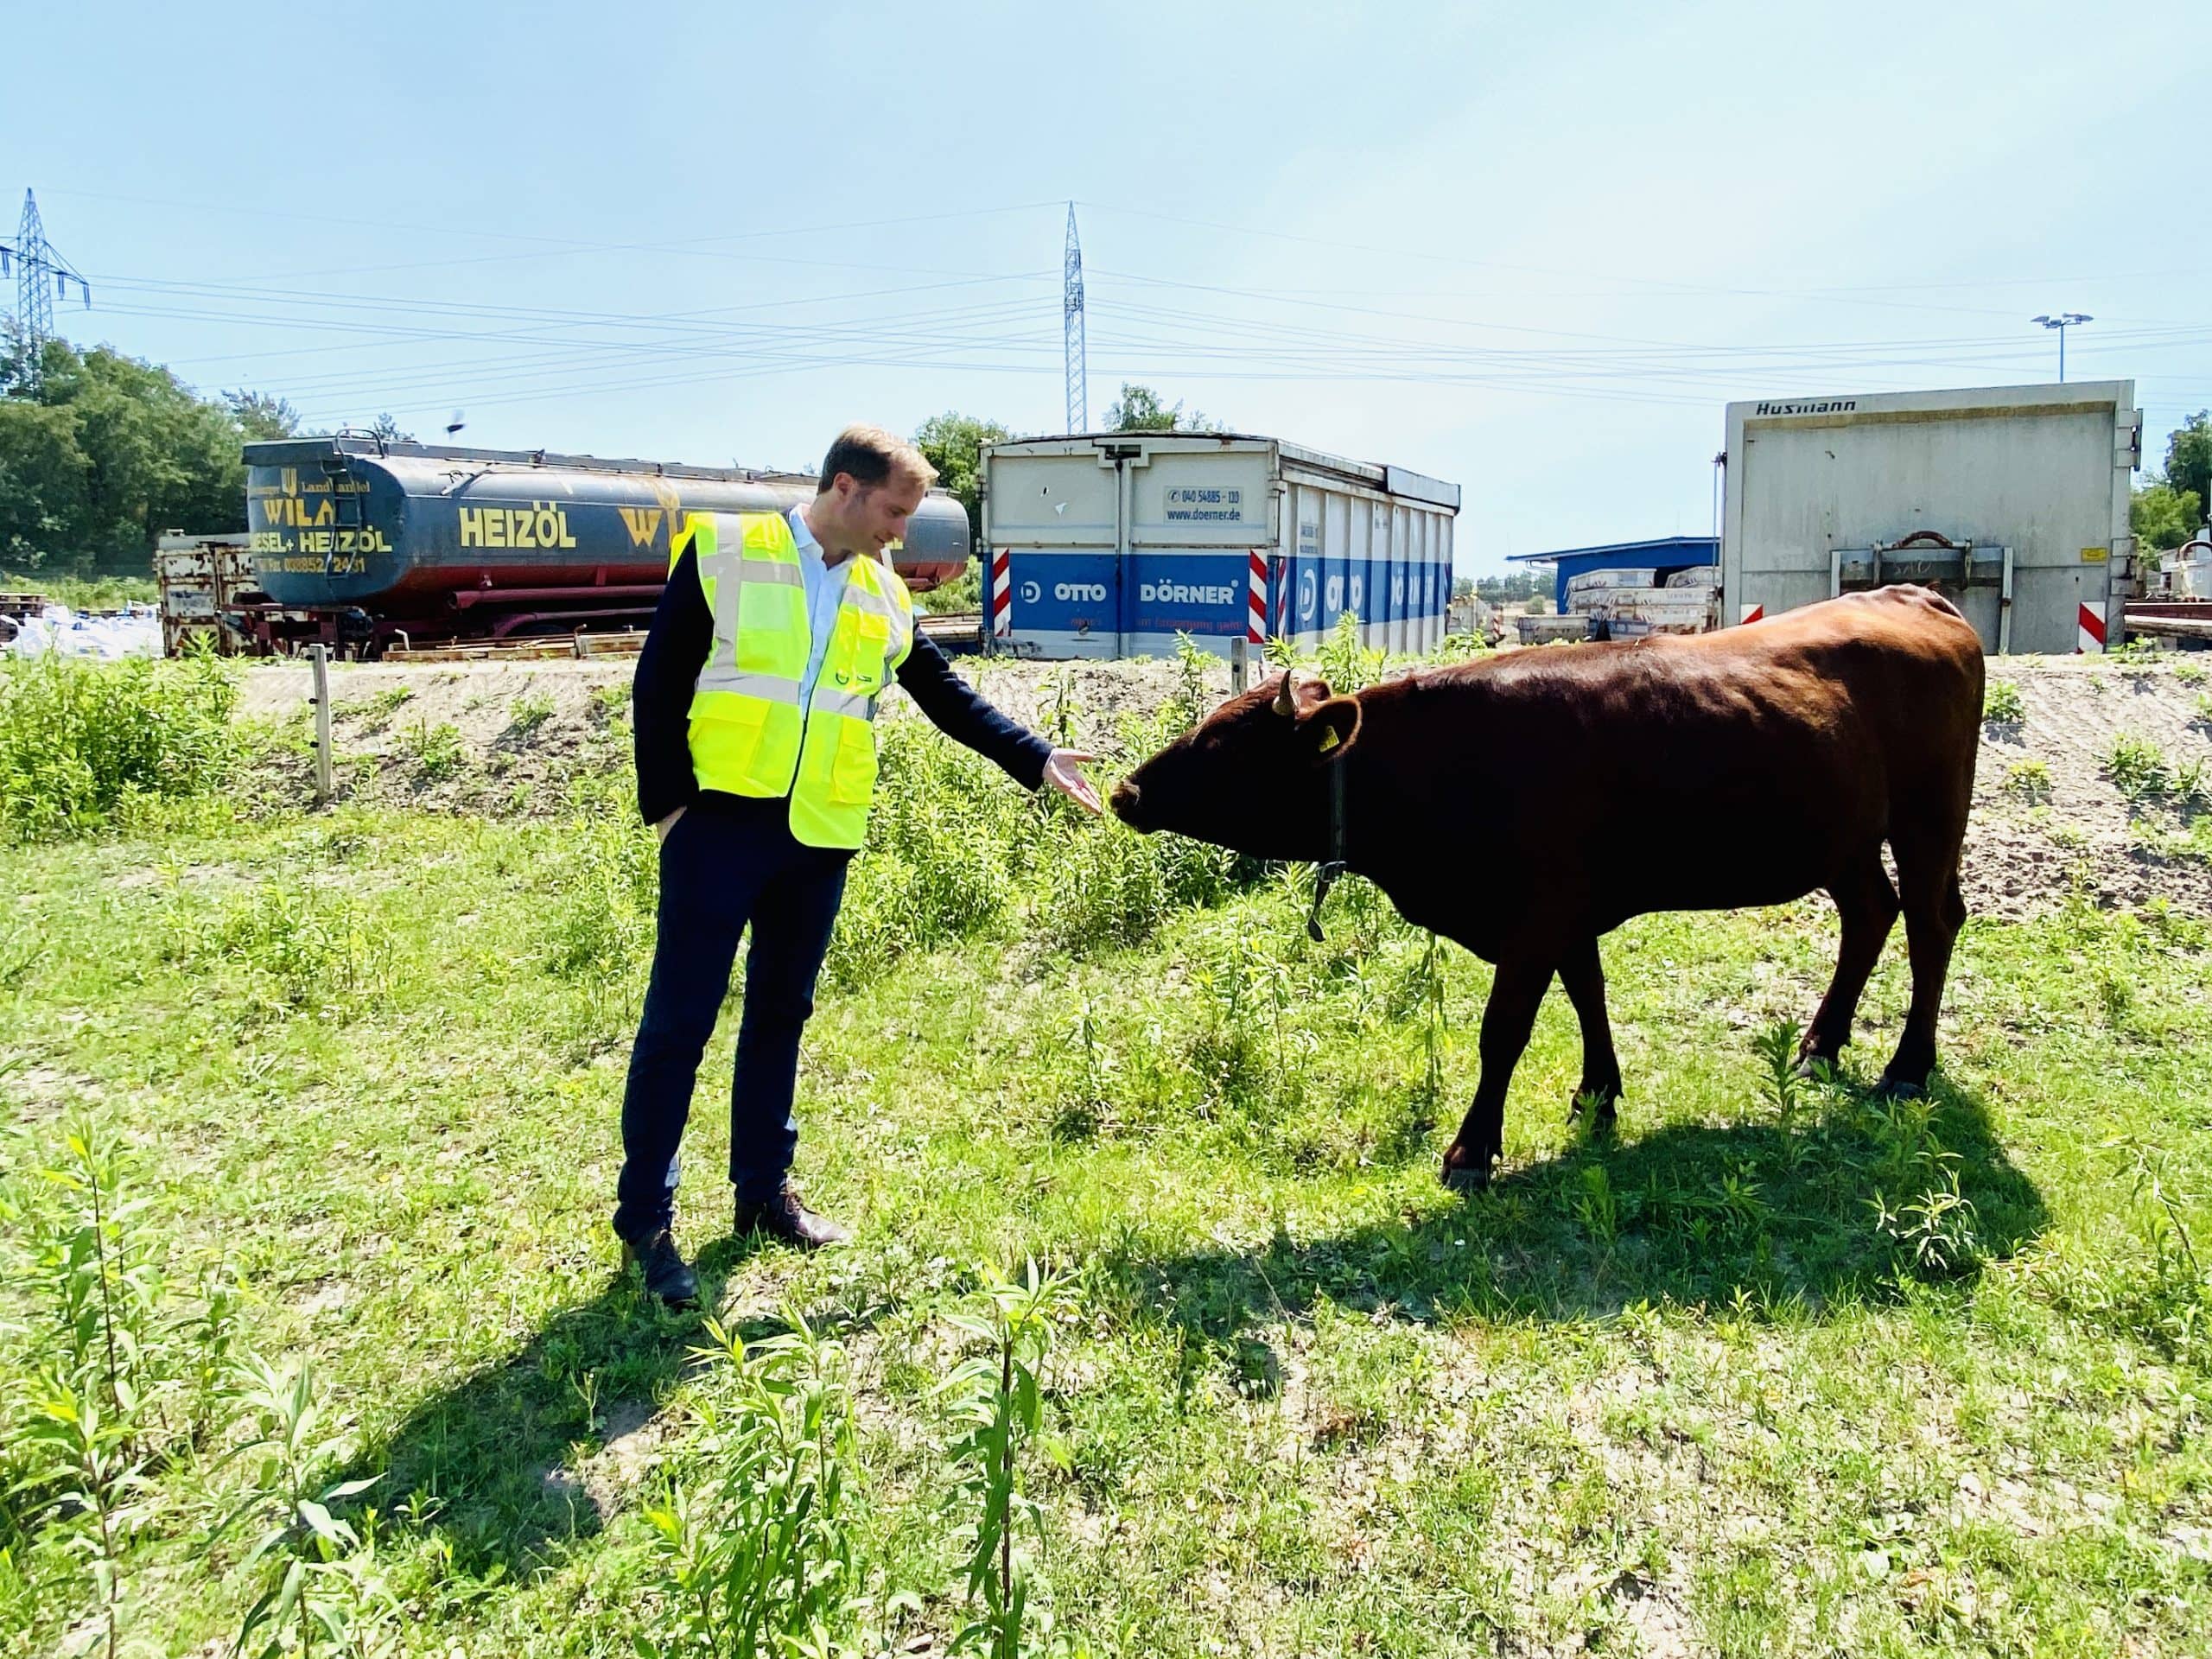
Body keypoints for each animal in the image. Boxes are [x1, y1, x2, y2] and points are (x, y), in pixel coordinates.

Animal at [1106, 593, 1991, 1185]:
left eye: (1223, 744)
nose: (1126, 791)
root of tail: (1915, 596)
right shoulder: (1567, 908)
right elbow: (1587, 993)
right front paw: (1598, 1094)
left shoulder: (1537, 911)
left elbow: (1504, 1030)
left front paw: (1472, 1149)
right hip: (1844, 834)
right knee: (1871, 913)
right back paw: (1819, 1045)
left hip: (1930, 814)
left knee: (1931, 923)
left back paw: (1907, 1068)